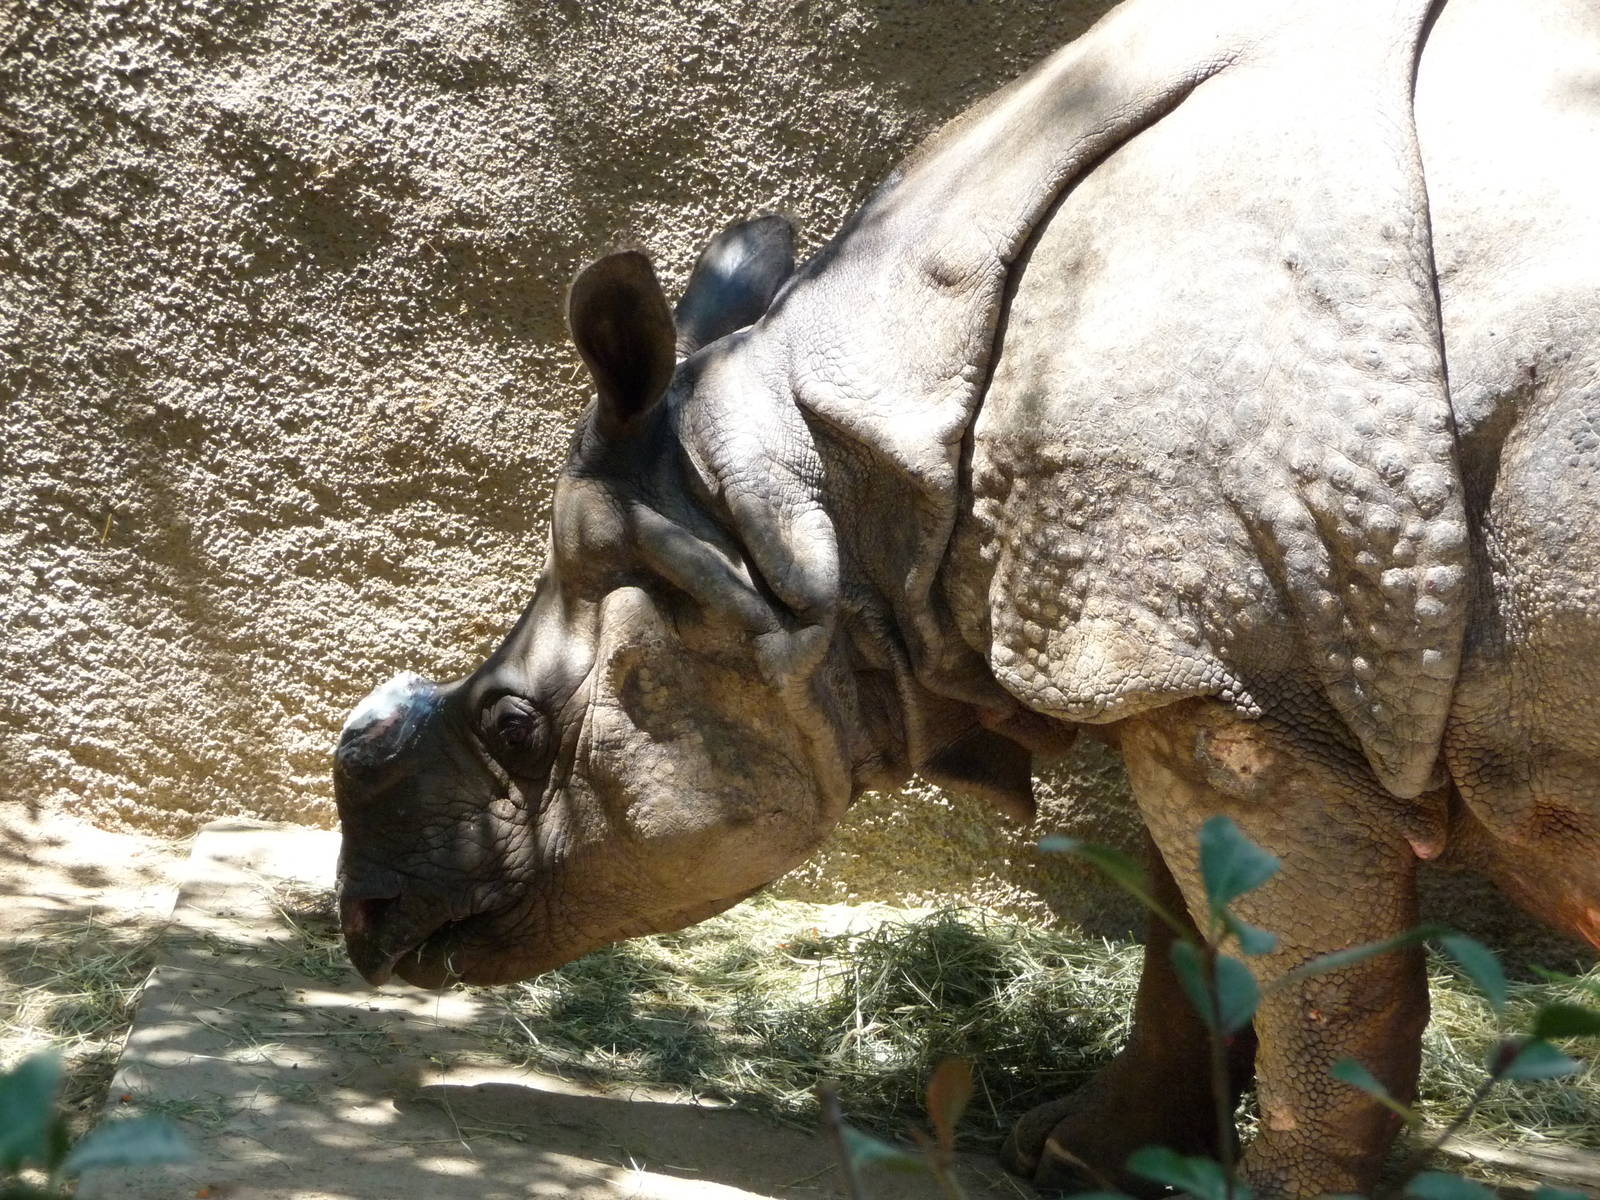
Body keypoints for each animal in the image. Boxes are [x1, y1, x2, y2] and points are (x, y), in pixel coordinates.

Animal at [331, 0, 1600, 1193]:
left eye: (513, 725)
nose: (367, 923)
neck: (798, 503)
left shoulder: (1237, 678)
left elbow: (1314, 986)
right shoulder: (1176, 648)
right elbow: (1190, 936)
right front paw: (1088, 1159)